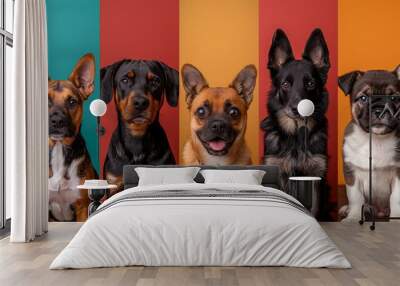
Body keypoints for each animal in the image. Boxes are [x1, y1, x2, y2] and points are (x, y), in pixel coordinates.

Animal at [340, 67, 400, 221]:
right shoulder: (352, 172)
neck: (376, 139)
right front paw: (354, 217)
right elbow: (355, 197)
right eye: (364, 98)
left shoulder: (398, 172)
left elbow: (396, 198)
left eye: (394, 98)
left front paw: (396, 218)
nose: (379, 111)